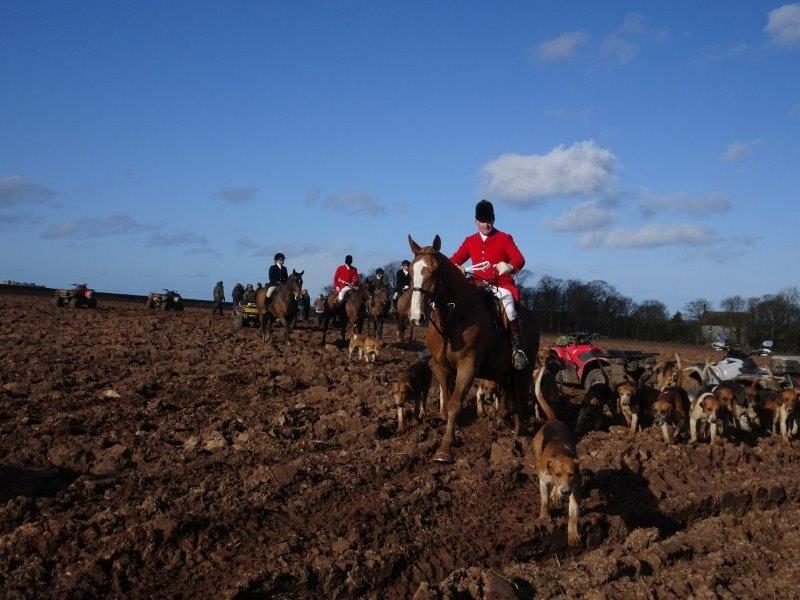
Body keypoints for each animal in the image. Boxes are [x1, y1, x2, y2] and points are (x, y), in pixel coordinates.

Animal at [407, 234, 540, 463]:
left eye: (435, 271)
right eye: (410, 271)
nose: (417, 317)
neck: (452, 320)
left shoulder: (467, 366)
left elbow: (454, 404)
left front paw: (444, 449)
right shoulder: (440, 366)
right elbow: (446, 404)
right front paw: (452, 435)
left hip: (524, 371)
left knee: (521, 400)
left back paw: (517, 435)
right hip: (501, 372)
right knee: (507, 396)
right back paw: (502, 421)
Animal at [532, 366, 581, 546]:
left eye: (571, 474)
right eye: (558, 474)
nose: (565, 491)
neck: (560, 452)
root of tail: (553, 420)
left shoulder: (575, 487)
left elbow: (573, 514)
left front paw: (573, 535)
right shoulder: (543, 479)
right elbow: (544, 501)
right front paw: (544, 517)